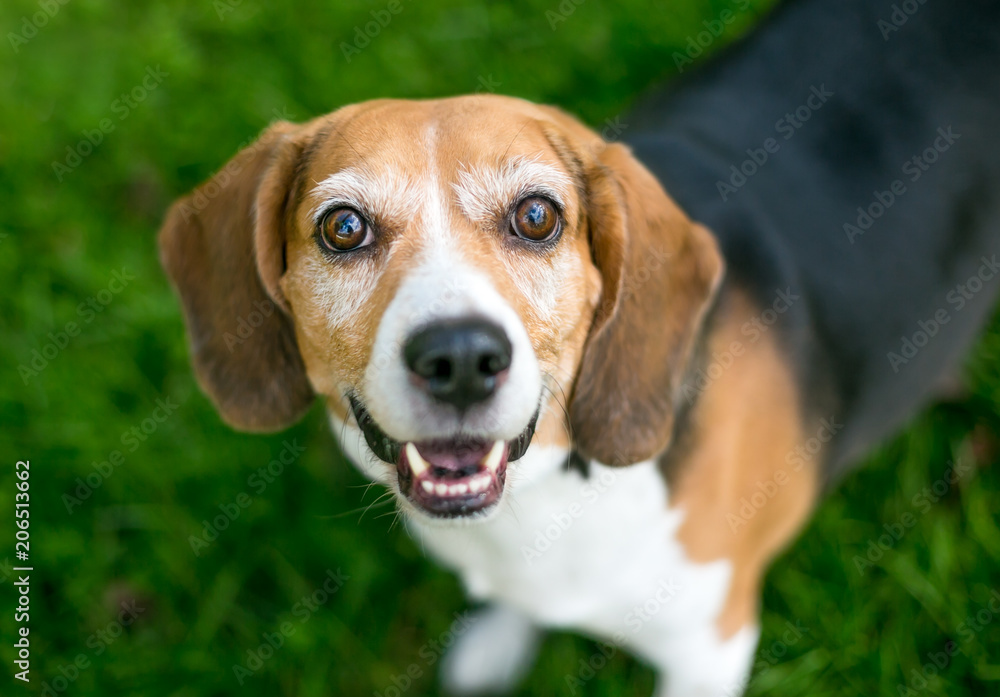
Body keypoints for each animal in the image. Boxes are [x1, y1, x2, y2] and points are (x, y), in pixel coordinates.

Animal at [158, 0, 1000, 692]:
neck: (552, 493)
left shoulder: (709, 647)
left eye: (537, 216)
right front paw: (501, 639)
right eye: (343, 227)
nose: (460, 360)